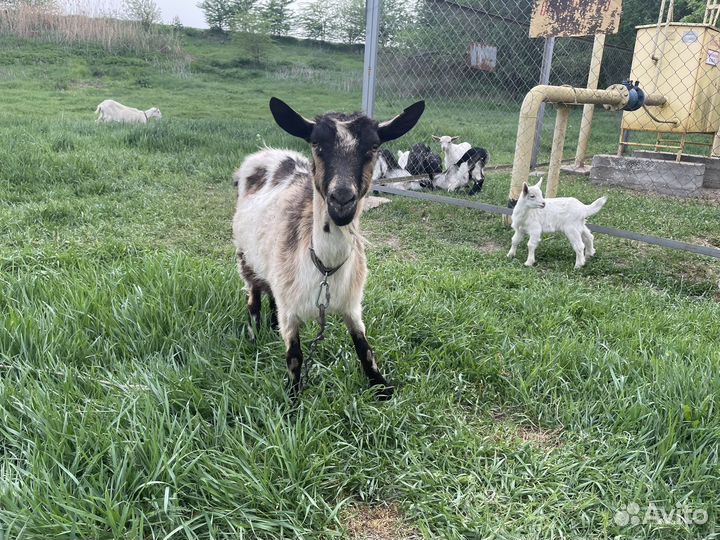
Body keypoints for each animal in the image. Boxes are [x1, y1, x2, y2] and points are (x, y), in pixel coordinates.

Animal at [232, 97, 424, 399]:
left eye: (374, 146)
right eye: (316, 143)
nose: (342, 199)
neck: (324, 268)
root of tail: (269, 154)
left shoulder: (352, 303)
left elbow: (364, 348)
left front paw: (382, 388)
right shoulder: (290, 310)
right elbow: (295, 357)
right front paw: (293, 401)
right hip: (244, 256)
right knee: (253, 298)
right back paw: (254, 336)